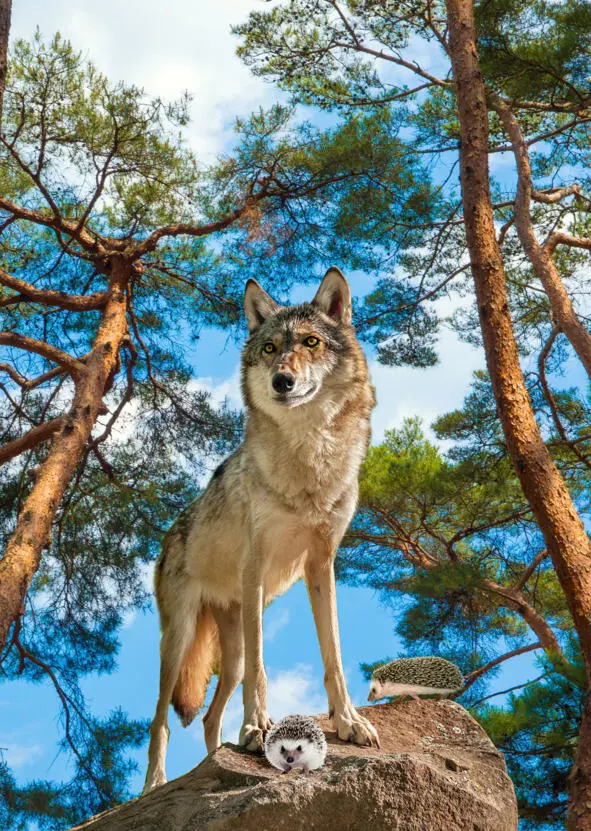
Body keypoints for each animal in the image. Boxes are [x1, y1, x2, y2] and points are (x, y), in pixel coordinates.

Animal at [146, 266, 382, 792]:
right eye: (271, 348)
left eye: (311, 342)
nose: (282, 381)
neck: (310, 456)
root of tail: (167, 537)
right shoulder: (255, 567)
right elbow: (263, 669)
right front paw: (257, 728)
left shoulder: (322, 564)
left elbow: (334, 656)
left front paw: (349, 722)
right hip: (179, 642)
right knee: (160, 720)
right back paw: (154, 785)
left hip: (226, 656)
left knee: (209, 717)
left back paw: (213, 764)